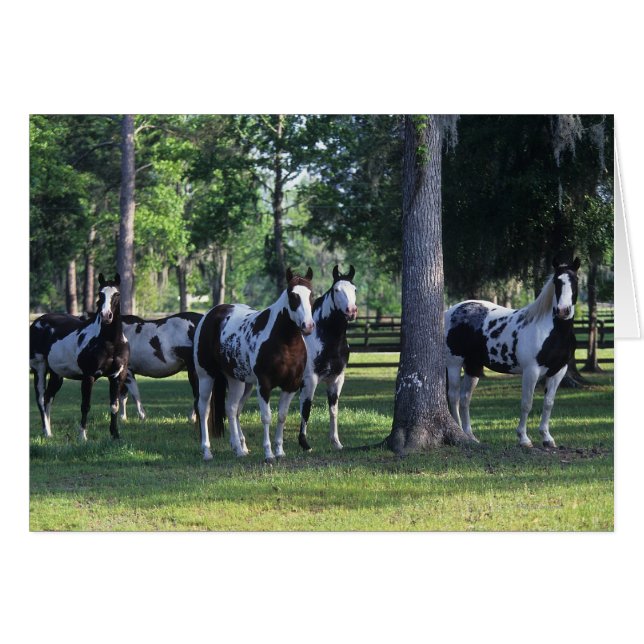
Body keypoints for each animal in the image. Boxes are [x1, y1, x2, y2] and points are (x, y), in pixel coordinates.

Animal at [29, 273, 130, 440]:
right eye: (100, 294)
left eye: (117, 294)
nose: (106, 316)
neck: (110, 342)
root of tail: (37, 322)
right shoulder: (88, 376)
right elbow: (85, 405)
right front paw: (82, 436)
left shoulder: (117, 376)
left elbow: (114, 406)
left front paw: (115, 435)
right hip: (39, 368)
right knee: (41, 399)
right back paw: (46, 432)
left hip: (56, 374)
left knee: (48, 398)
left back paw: (50, 433)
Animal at [193, 267, 315, 462]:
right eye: (292, 295)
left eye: (311, 294)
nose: (308, 326)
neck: (285, 342)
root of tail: (211, 315)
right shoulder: (264, 385)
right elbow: (266, 417)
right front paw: (269, 454)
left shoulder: (291, 386)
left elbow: (282, 416)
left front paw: (279, 451)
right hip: (206, 376)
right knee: (204, 410)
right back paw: (207, 451)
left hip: (238, 381)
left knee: (232, 409)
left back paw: (239, 449)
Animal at [298, 264, 358, 451]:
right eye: (336, 290)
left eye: (355, 289)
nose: (351, 311)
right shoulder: (310, 380)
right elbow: (306, 409)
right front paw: (304, 443)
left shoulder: (336, 379)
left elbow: (333, 410)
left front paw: (336, 442)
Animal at [444, 257, 580, 448]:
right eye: (556, 281)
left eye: (575, 281)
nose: (563, 310)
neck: (551, 331)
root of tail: (450, 311)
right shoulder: (531, 371)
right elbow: (526, 404)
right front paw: (524, 439)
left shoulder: (558, 371)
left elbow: (548, 403)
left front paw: (547, 438)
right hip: (454, 363)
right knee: (454, 397)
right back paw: (460, 432)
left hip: (473, 366)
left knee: (465, 398)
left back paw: (470, 436)